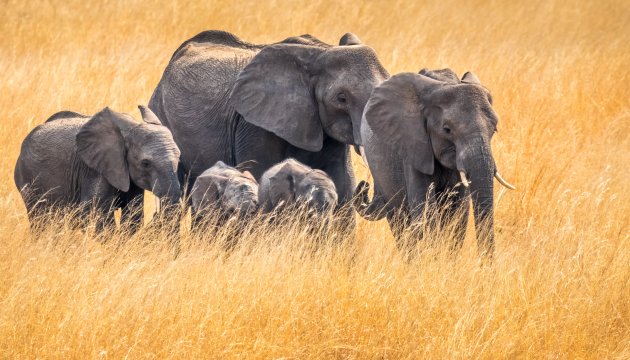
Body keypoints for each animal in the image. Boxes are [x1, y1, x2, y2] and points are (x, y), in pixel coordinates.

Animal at [14, 105, 181, 232]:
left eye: (179, 158)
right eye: (146, 163)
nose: (157, 213)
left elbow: (133, 214)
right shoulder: (94, 169)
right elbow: (94, 214)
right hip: (28, 180)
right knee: (41, 220)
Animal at [358, 69, 516, 255]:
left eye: (494, 129)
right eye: (447, 130)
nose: (485, 261)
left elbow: (457, 213)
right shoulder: (413, 147)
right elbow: (426, 210)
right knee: (399, 222)